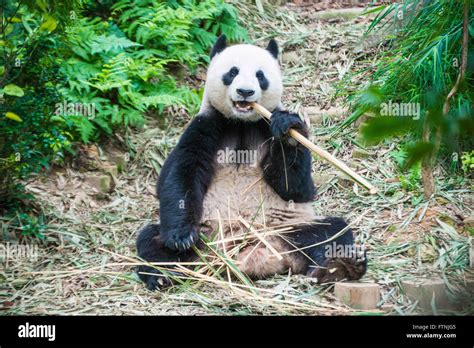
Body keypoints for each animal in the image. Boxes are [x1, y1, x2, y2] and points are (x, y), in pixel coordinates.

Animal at [137, 36, 366, 290]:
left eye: (260, 75)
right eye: (232, 72)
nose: (245, 91)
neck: (241, 123)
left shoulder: (265, 126)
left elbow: (297, 189)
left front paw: (288, 131)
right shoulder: (206, 127)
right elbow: (179, 176)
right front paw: (181, 237)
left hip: (290, 227)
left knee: (331, 232)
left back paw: (340, 266)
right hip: (206, 232)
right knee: (150, 240)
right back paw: (162, 275)